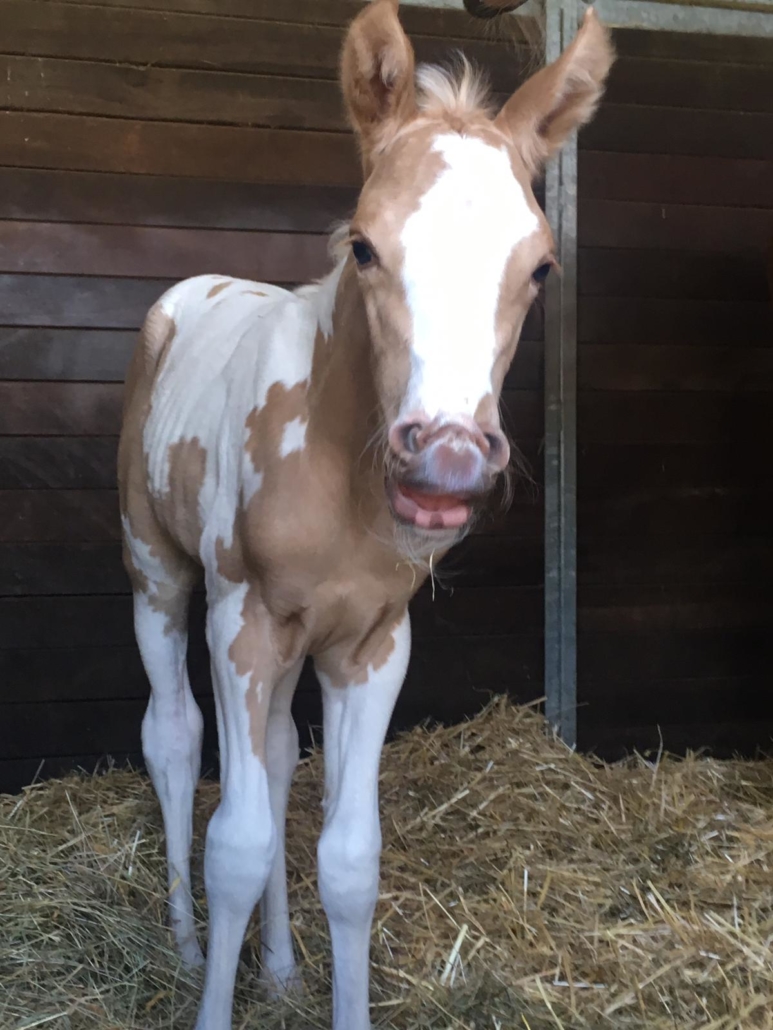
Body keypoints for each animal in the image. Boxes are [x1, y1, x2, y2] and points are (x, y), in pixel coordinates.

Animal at [117, 2, 613, 1027]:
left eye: (541, 267)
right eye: (363, 245)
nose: (446, 461)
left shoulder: (374, 642)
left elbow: (348, 859)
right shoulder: (241, 621)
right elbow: (235, 842)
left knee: (272, 753)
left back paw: (277, 966)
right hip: (157, 572)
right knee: (174, 737)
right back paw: (185, 945)